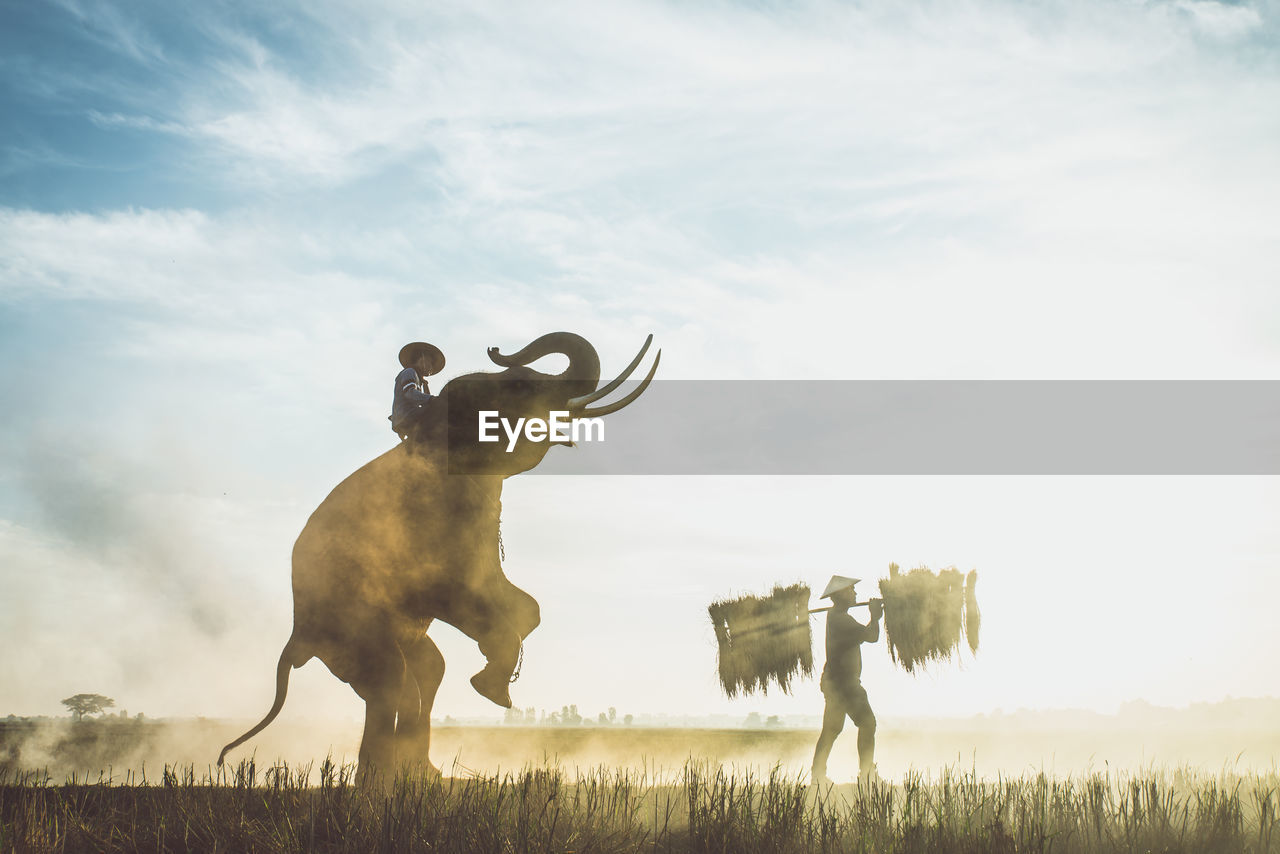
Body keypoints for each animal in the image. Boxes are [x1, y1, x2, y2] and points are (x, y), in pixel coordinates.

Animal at [218, 332, 655, 783]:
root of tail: (295, 641)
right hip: (350, 628)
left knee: (429, 670)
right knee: (389, 676)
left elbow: (519, 601)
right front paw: (490, 687)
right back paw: (378, 784)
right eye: (518, 385)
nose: (496, 348)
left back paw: (426, 776)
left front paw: (494, 681)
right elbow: (451, 591)